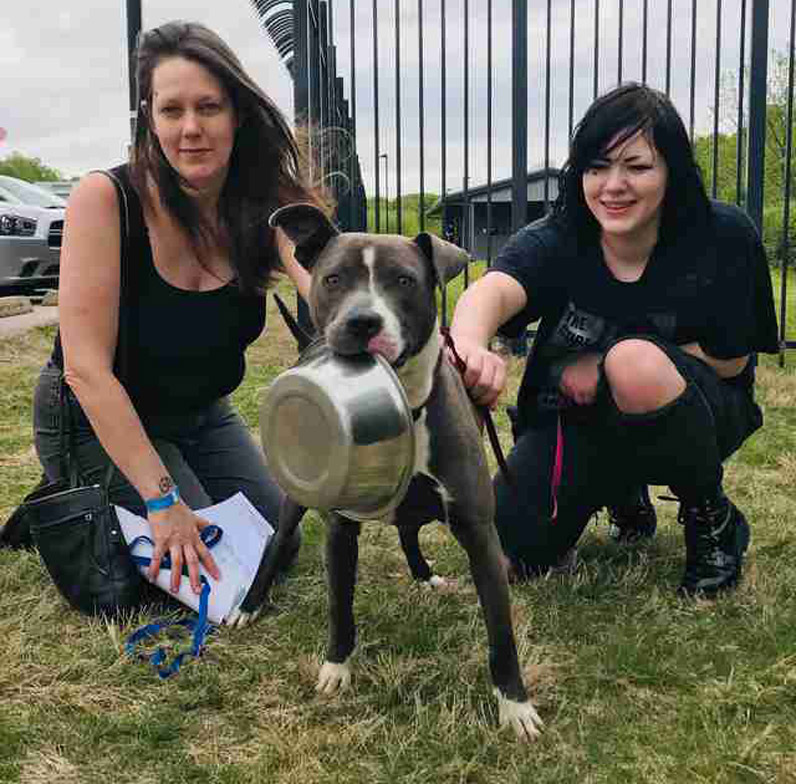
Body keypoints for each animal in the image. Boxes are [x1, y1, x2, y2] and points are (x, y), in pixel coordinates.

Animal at [233, 204, 544, 740]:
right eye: (333, 278)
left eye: (403, 280)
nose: (361, 321)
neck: (406, 401)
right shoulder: (339, 531)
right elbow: (340, 607)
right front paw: (337, 667)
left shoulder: (480, 532)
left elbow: (500, 629)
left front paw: (515, 704)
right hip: (294, 503)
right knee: (277, 543)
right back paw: (250, 605)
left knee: (408, 530)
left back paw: (423, 575)